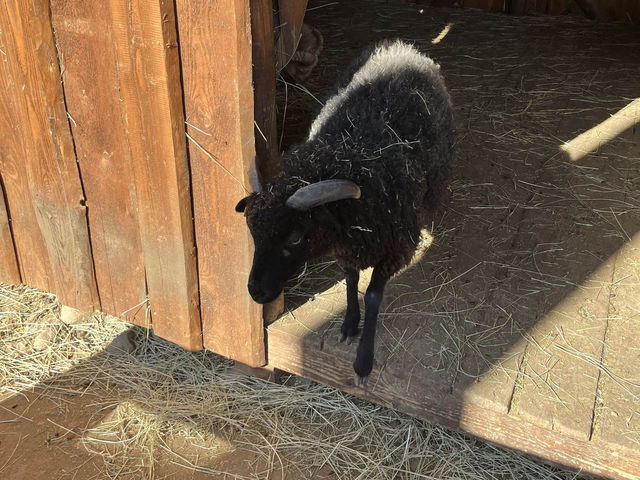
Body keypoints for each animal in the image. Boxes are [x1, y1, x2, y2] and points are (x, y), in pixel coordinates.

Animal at [236, 40, 456, 386]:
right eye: (252, 231)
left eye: (295, 237)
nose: (256, 292)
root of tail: (400, 47)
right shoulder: (348, 246)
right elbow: (351, 280)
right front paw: (350, 324)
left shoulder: (394, 248)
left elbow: (373, 296)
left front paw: (363, 362)